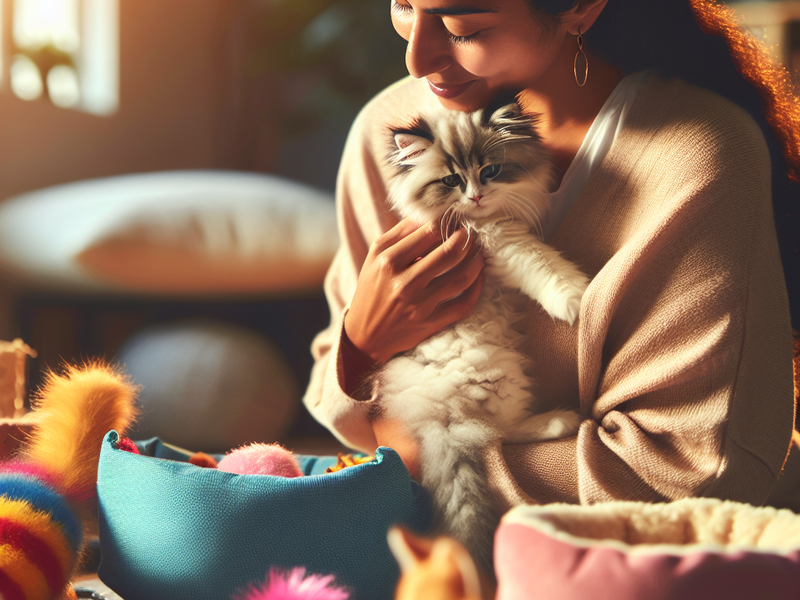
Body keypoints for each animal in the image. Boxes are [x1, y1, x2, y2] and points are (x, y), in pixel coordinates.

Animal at [378, 102, 592, 568]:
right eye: (450, 181)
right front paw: (577, 297)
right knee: (498, 432)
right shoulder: (500, 243)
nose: (475, 195)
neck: (478, 219)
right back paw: (559, 420)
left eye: (490, 171)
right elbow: (545, 266)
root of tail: (433, 416)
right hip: (499, 372)